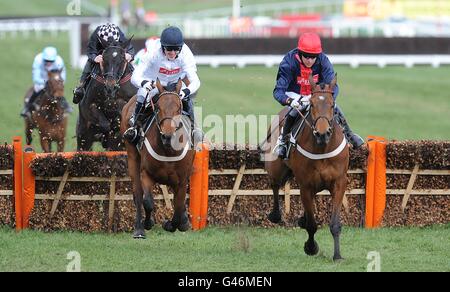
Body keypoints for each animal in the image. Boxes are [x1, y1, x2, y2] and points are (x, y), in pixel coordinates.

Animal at [120, 78, 194, 238]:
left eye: (179, 108)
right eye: (158, 107)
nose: (167, 136)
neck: (168, 150)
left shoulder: (182, 180)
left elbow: (178, 207)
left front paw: (176, 223)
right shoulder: (146, 174)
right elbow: (147, 201)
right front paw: (149, 223)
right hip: (132, 155)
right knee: (138, 194)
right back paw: (139, 229)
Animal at [266, 74, 350, 260]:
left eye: (332, 104)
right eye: (311, 104)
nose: (322, 133)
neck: (322, 148)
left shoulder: (339, 183)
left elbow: (335, 223)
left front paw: (337, 255)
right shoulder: (306, 185)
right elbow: (312, 225)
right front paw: (311, 247)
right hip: (276, 168)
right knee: (275, 185)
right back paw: (276, 215)